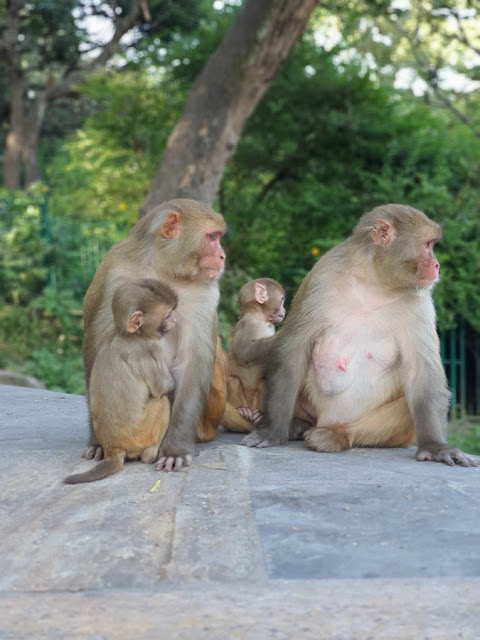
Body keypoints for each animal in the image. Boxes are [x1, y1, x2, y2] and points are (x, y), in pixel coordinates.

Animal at [64, 278, 178, 482]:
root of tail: (112, 448)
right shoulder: (149, 347)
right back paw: (150, 454)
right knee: (161, 402)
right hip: (139, 434)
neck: (127, 334)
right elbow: (162, 388)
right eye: (167, 315)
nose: (174, 321)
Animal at [81, 198, 226, 472]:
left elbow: (192, 362)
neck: (163, 268)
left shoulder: (204, 291)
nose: (223, 256)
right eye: (212, 237)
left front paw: (175, 450)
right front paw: (98, 442)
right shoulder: (113, 271)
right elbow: (98, 347)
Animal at [225, 276, 284, 430]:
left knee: (264, 381)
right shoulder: (249, 324)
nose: (284, 311)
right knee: (233, 380)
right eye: (282, 300)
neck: (261, 318)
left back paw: (259, 415)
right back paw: (242, 410)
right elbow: (244, 352)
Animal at [242, 202, 478, 468]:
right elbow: (291, 350)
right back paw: (298, 424)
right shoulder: (321, 276)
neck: (373, 281)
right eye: (428, 245)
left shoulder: (420, 301)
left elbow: (422, 374)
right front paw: (272, 431)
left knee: (405, 404)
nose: (437, 265)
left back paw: (336, 435)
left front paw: (437, 447)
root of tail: (327, 419)